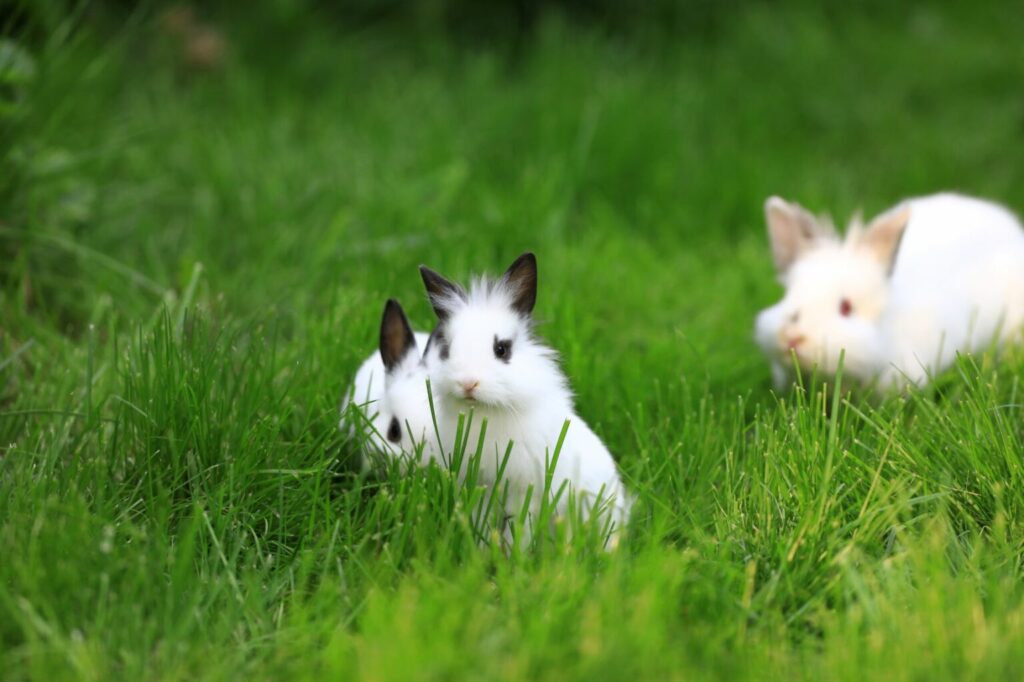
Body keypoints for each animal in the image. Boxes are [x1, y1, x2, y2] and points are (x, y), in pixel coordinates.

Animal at [417, 251, 630, 544]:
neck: (487, 411)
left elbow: (520, 527)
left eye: (501, 349)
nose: (468, 383)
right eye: (447, 349)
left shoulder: (525, 491)